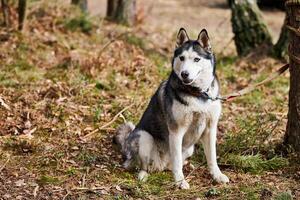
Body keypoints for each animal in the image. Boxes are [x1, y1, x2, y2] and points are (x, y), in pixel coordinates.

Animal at [113, 27, 229, 189]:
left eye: (196, 59)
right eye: (182, 58)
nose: (184, 74)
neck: (198, 94)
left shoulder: (210, 129)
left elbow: (212, 157)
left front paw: (217, 176)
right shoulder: (176, 131)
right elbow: (177, 161)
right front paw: (180, 182)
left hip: (189, 149)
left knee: (171, 164)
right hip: (144, 137)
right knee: (143, 166)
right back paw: (143, 175)